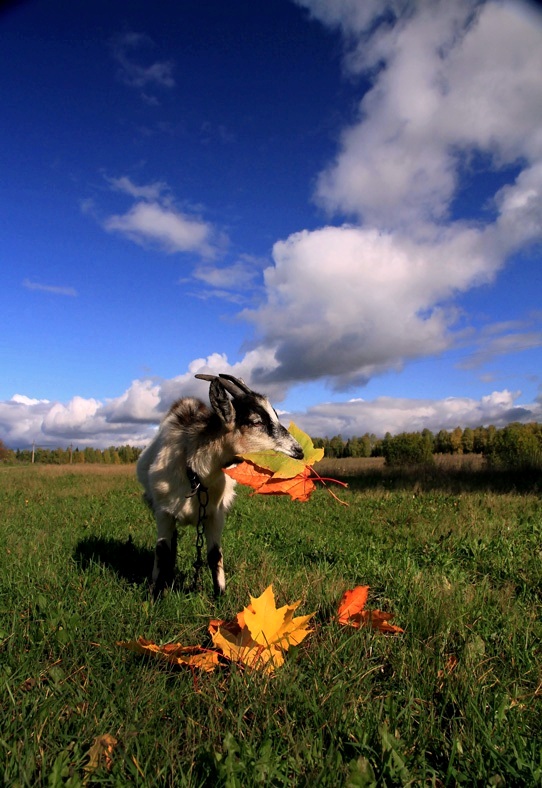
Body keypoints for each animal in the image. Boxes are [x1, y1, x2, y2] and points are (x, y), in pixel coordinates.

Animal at [137, 372, 306, 596]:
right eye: (255, 421)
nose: (298, 450)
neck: (196, 475)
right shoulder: (163, 513)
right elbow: (162, 551)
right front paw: (155, 593)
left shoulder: (215, 515)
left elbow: (214, 554)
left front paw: (219, 595)